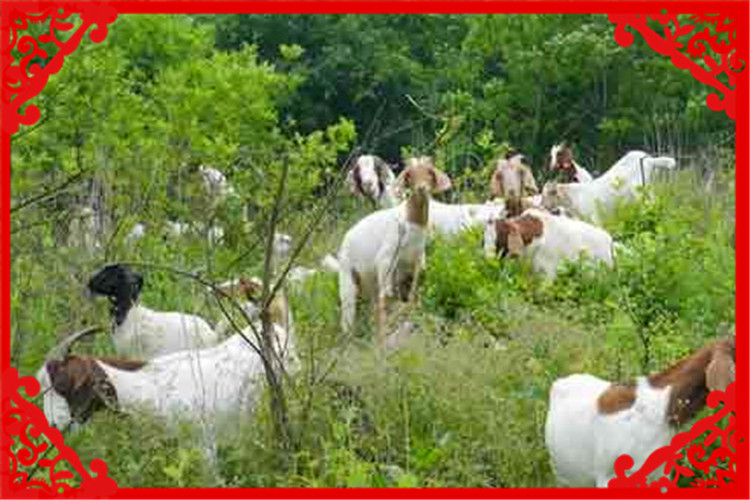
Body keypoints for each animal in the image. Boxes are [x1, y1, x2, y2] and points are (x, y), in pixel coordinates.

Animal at [544, 150, 680, 225]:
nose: (542, 206)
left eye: (548, 194)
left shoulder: (596, 218)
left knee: (651, 204)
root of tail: (650, 160)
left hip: (640, 190)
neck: (576, 196)